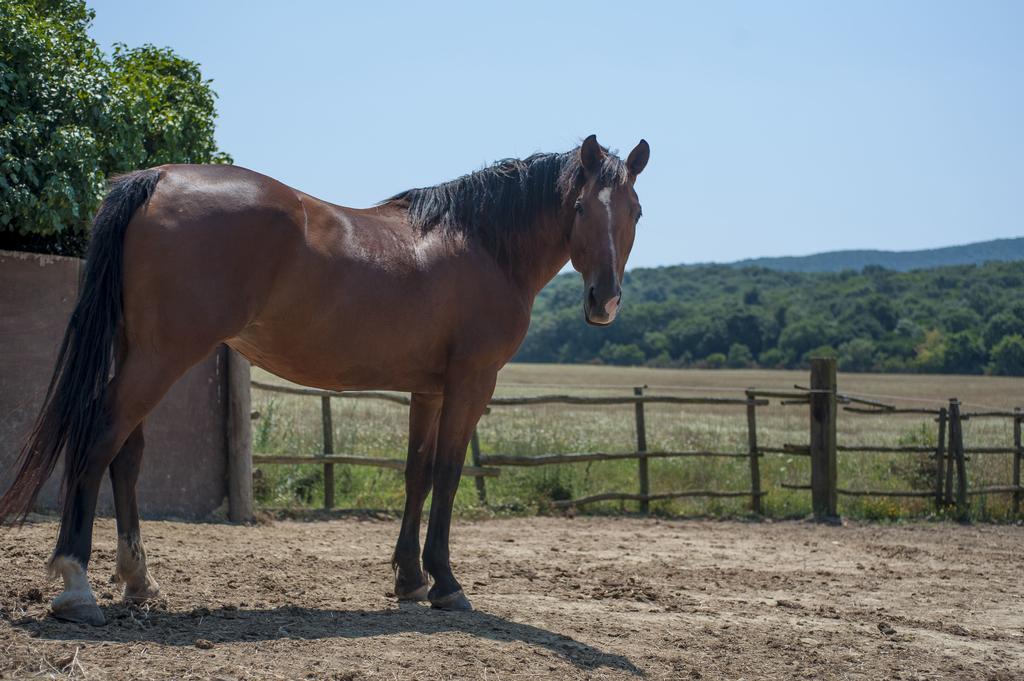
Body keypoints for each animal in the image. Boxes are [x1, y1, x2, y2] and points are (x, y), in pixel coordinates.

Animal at [0, 133, 647, 622]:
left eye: (635, 212)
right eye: (582, 208)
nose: (606, 301)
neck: (480, 243)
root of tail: (157, 178)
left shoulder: (429, 389)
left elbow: (416, 475)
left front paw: (410, 580)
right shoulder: (470, 383)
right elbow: (448, 475)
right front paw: (445, 583)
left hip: (141, 353)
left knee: (126, 455)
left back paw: (139, 581)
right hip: (163, 357)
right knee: (97, 440)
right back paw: (77, 586)